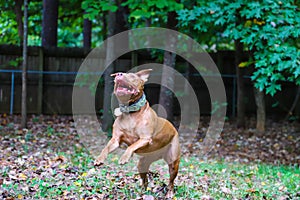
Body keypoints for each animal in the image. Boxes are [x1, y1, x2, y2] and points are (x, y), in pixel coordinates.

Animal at [95, 69, 180, 198]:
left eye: (132, 76)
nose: (119, 74)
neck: (130, 112)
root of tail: (173, 127)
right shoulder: (116, 139)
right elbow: (106, 148)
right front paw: (99, 159)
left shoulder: (145, 139)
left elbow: (131, 146)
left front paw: (124, 158)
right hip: (143, 163)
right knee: (145, 181)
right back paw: (142, 192)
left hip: (173, 162)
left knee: (171, 182)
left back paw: (169, 193)